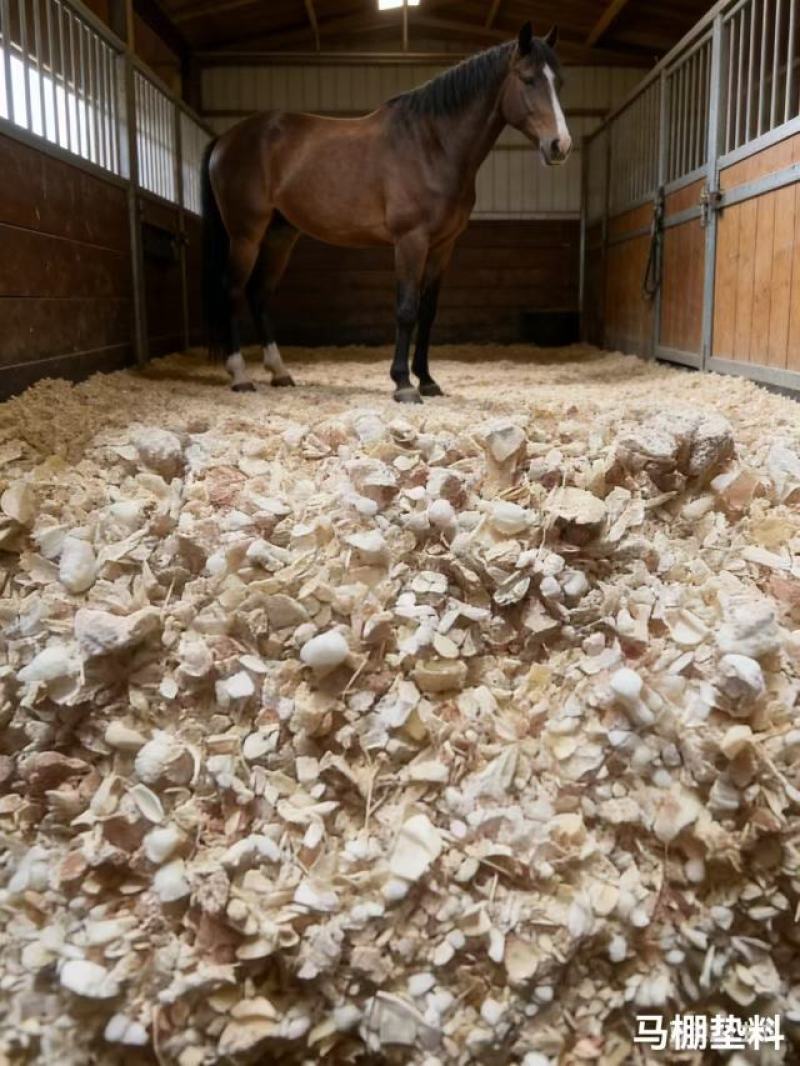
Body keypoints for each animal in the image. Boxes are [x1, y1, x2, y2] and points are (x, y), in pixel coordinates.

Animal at [201, 22, 572, 403]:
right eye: (528, 79)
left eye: (558, 82)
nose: (560, 146)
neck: (432, 144)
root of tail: (226, 138)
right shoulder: (410, 240)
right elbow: (406, 310)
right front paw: (403, 383)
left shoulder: (443, 245)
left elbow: (428, 312)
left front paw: (427, 380)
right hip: (245, 234)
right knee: (232, 290)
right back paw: (240, 376)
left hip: (279, 235)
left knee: (259, 294)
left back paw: (279, 372)